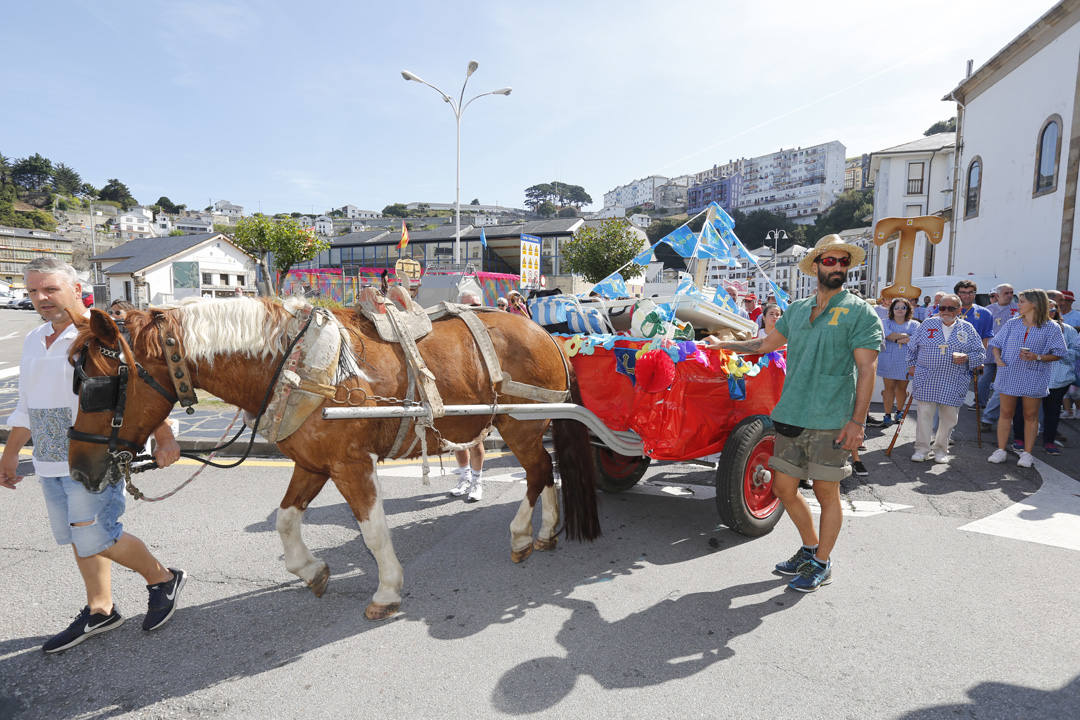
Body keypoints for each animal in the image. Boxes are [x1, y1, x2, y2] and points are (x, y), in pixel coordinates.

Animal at [66, 295, 600, 621]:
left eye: (98, 386)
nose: (77, 469)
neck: (294, 364)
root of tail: (548, 334)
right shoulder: (312, 463)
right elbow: (285, 519)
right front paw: (310, 569)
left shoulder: (350, 463)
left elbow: (373, 530)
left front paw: (387, 591)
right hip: (530, 424)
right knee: (544, 473)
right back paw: (546, 530)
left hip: (520, 423)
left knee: (536, 472)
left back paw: (522, 535)